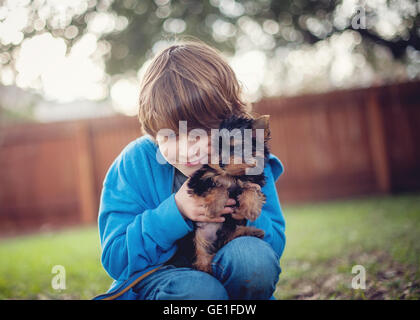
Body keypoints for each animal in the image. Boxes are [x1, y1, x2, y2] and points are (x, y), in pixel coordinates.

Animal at [185, 114, 270, 274]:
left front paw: (250, 208)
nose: (220, 163)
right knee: (199, 252)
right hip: (195, 236)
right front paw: (214, 207)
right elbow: (219, 187)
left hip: (227, 227)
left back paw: (251, 231)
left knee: (228, 235)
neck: (233, 176)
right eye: (216, 149)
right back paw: (205, 265)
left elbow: (252, 189)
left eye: (236, 148)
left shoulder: (253, 181)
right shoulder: (199, 180)